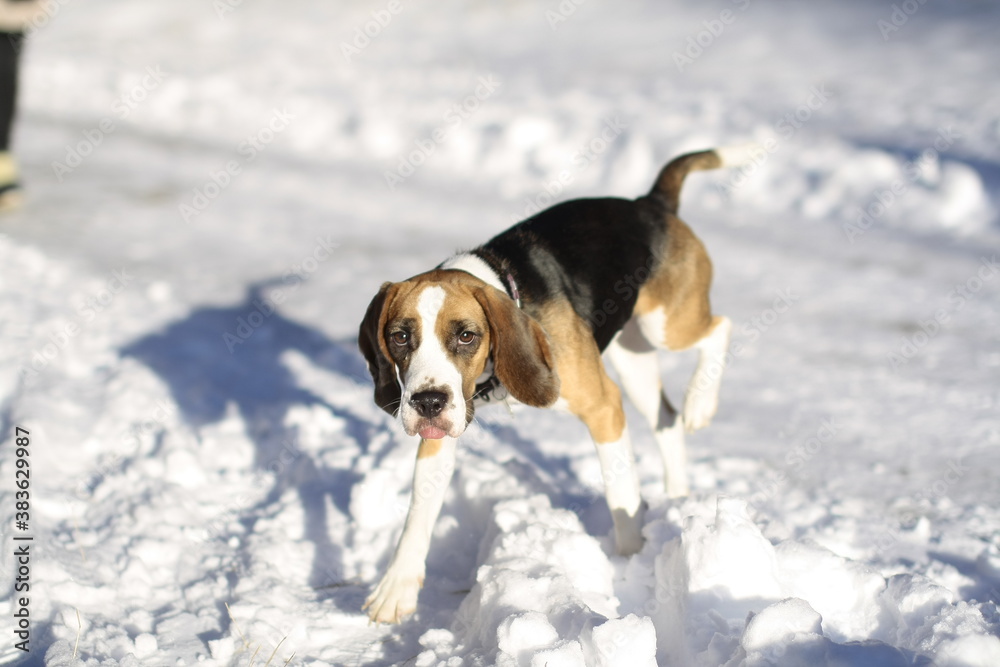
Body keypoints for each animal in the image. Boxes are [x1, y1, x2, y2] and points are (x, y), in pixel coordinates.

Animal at [356, 146, 752, 628]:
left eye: (466, 335)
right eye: (399, 337)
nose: (428, 402)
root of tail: (650, 203)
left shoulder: (604, 407)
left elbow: (622, 497)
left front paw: (629, 569)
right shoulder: (442, 430)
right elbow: (418, 512)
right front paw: (396, 588)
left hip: (667, 326)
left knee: (719, 329)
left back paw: (700, 403)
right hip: (633, 358)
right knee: (667, 420)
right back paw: (678, 493)